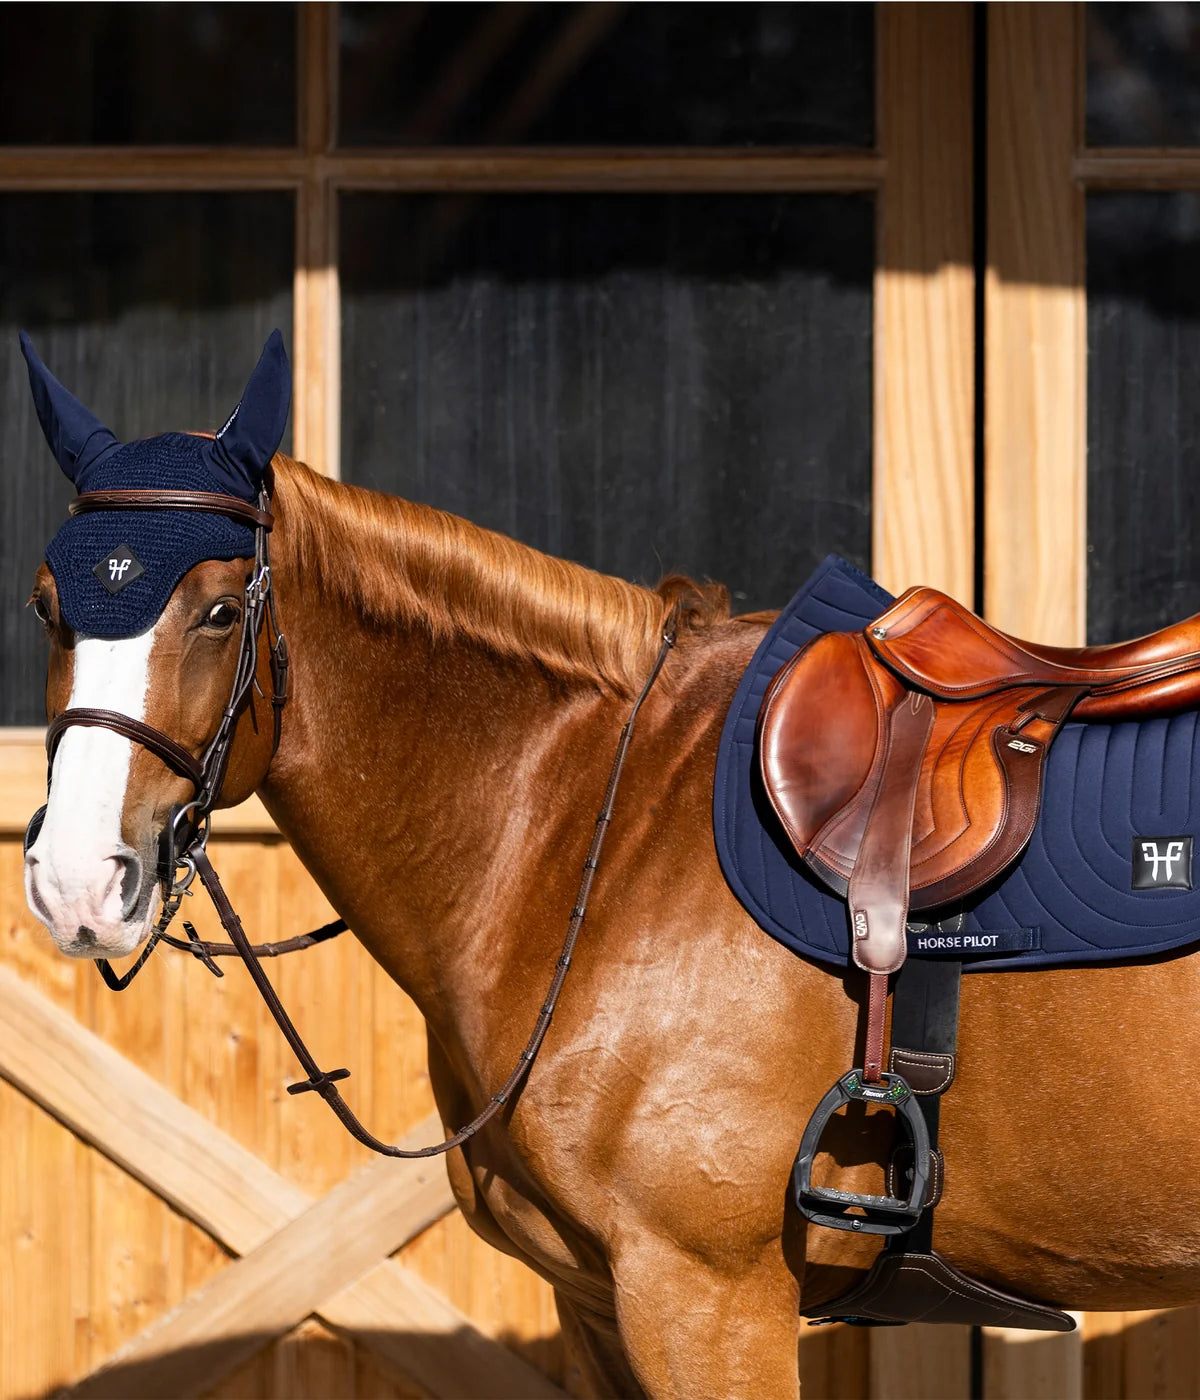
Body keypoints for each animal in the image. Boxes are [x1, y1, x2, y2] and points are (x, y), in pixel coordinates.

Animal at [22, 415, 1200, 1396]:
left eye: (222, 611)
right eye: (45, 605)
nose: (77, 882)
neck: (600, 816)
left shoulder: (704, 1298)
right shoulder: (593, 1299)